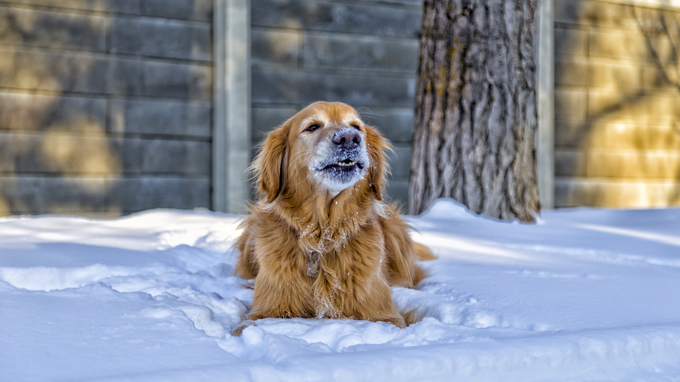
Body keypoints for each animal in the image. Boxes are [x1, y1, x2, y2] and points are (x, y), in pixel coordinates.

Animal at [235, 101, 436, 332]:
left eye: (357, 127)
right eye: (312, 127)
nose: (348, 138)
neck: (324, 234)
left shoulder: (387, 315)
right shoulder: (263, 311)